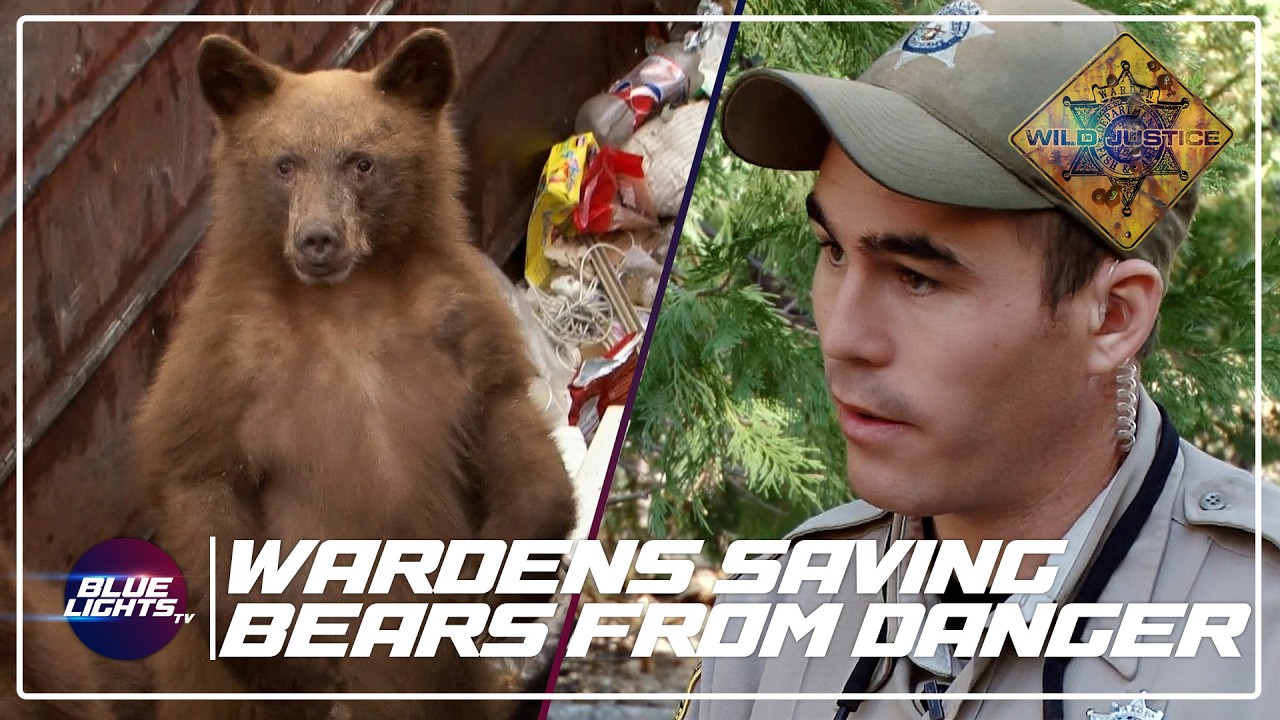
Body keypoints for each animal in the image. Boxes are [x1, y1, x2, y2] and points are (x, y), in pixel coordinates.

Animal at [133, 28, 577, 720]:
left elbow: (508, 421)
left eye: (361, 162)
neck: (344, 303)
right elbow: (201, 480)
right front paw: (304, 665)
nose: (318, 239)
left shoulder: (456, 320)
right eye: (284, 163)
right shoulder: (224, 358)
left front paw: (500, 582)